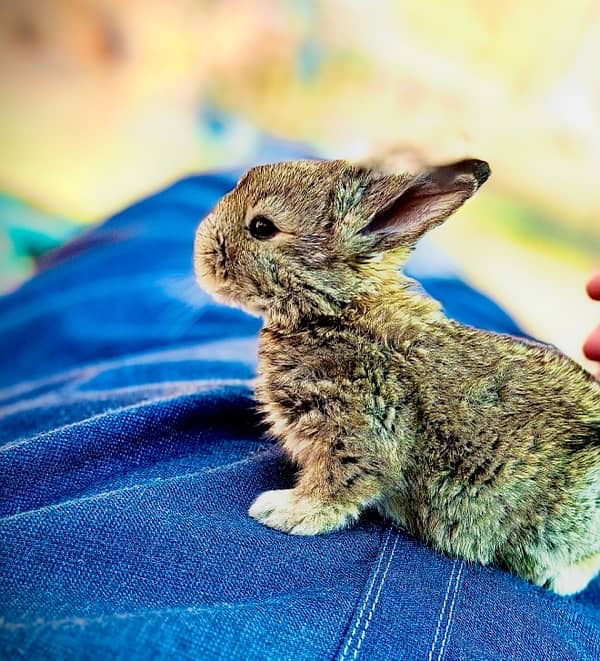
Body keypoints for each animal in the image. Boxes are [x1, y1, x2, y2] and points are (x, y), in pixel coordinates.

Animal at [195, 156, 600, 592]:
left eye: (262, 227)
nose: (201, 252)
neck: (336, 311)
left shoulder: (361, 427)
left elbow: (340, 484)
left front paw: (283, 512)